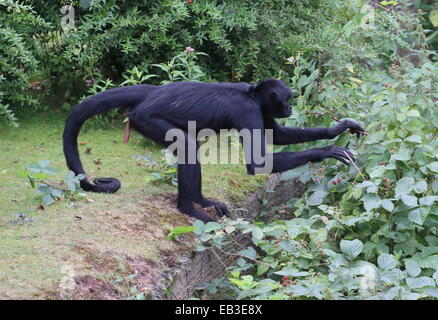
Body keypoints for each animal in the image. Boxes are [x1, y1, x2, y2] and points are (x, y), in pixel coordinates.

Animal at [63, 79, 364, 221]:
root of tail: (153, 92)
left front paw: (339, 129)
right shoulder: (249, 111)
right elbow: (258, 163)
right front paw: (329, 150)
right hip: (145, 118)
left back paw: (201, 200)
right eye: (288, 98)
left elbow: (278, 135)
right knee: (186, 145)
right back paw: (189, 207)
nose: (290, 107)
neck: (251, 94)